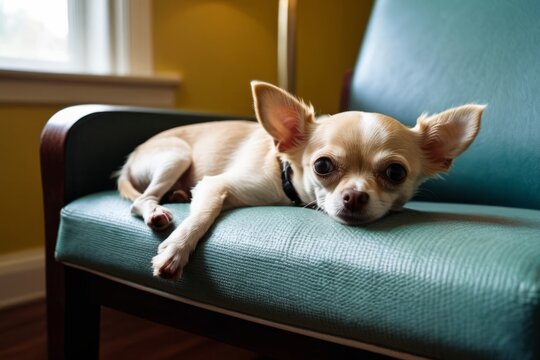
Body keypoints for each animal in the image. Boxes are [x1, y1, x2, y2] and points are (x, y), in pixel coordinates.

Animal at [117, 81, 486, 278]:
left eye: (395, 173)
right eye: (322, 166)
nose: (355, 196)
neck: (286, 179)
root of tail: (131, 158)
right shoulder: (216, 185)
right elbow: (202, 216)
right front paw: (176, 250)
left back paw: (178, 195)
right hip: (176, 155)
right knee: (139, 201)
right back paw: (157, 210)